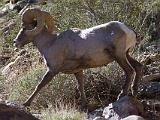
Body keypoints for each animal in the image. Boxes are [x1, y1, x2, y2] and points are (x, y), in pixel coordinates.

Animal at [12, 8, 142, 108]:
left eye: (24, 27)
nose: (15, 42)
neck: (50, 43)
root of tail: (128, 30)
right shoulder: (78, 71)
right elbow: (80, 86)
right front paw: (84, 105)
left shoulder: (52, 70)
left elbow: (39, 85)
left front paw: (26, 103)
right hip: (126, 55)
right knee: (138, 67)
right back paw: (134, 92)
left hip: (119, 57)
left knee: (129, 71)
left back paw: (122, 95)